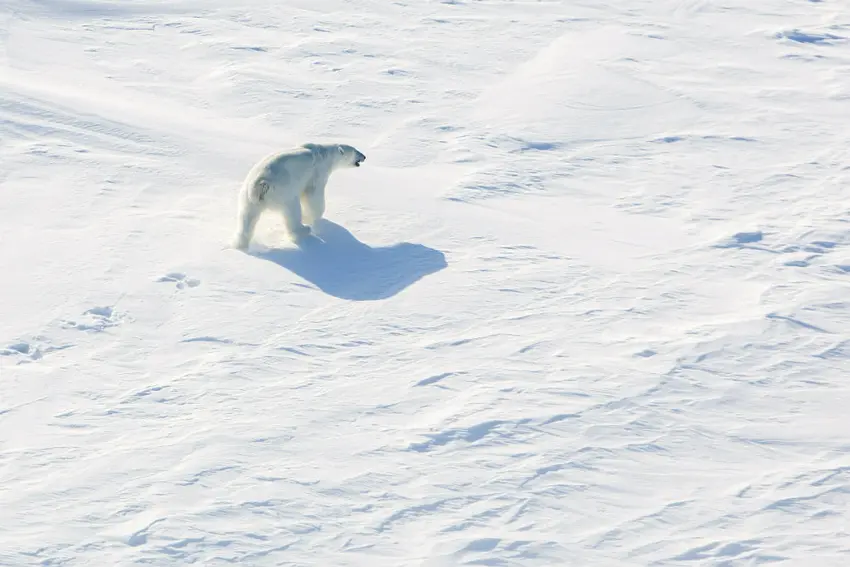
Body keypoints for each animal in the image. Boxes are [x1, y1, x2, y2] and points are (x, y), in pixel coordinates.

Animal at [232, 142, 366, 250]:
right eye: (356, 151)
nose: (364, 156)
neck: (324, 154)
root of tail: (260, 184)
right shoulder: (318, 173)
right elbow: (313, 196)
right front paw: (310, 217)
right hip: (283, 191)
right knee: (292, 211)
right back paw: (304, 229)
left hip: (247, 197)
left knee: (246, 218)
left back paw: (239, 244)